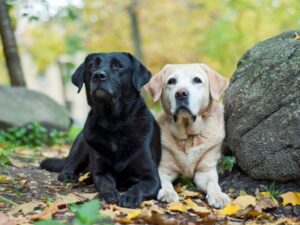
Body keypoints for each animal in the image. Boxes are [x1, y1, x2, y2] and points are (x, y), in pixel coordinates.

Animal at [41, 52, 162, 207]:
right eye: (92, 65)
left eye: (118, 65)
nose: (98, 75)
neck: (114, 123)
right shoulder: (101, 171)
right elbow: (106, 183)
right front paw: (108, 194)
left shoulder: (151, 178)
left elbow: (138, 186)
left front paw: (130, 197)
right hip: (81, 141)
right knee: (70, 164)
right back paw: (69, 174)